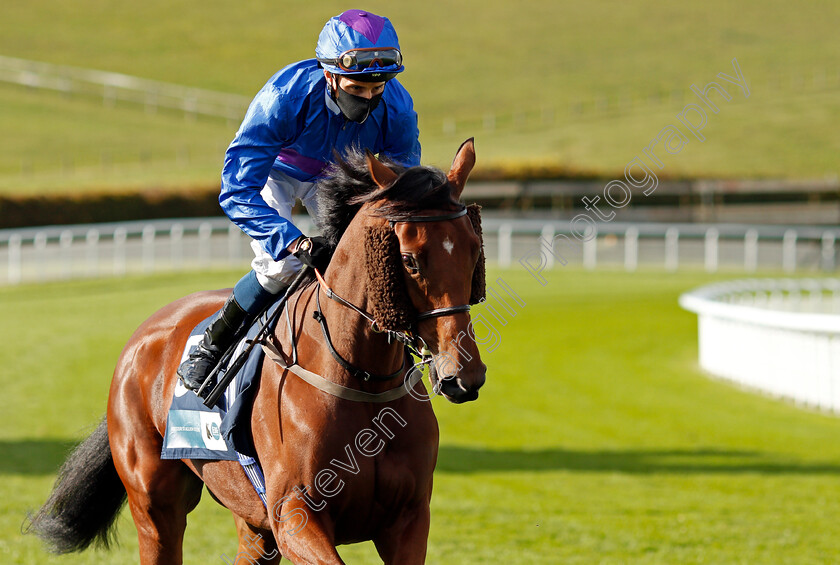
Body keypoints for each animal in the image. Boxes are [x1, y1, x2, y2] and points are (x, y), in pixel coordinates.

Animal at [27, 139, 486, 560]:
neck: (360, 379)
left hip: (250, 517)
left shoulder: (408, 519)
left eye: (474, 250)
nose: (463, 375)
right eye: (409, 261)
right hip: (155, 505)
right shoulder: (294, 514)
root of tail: (140, 338)